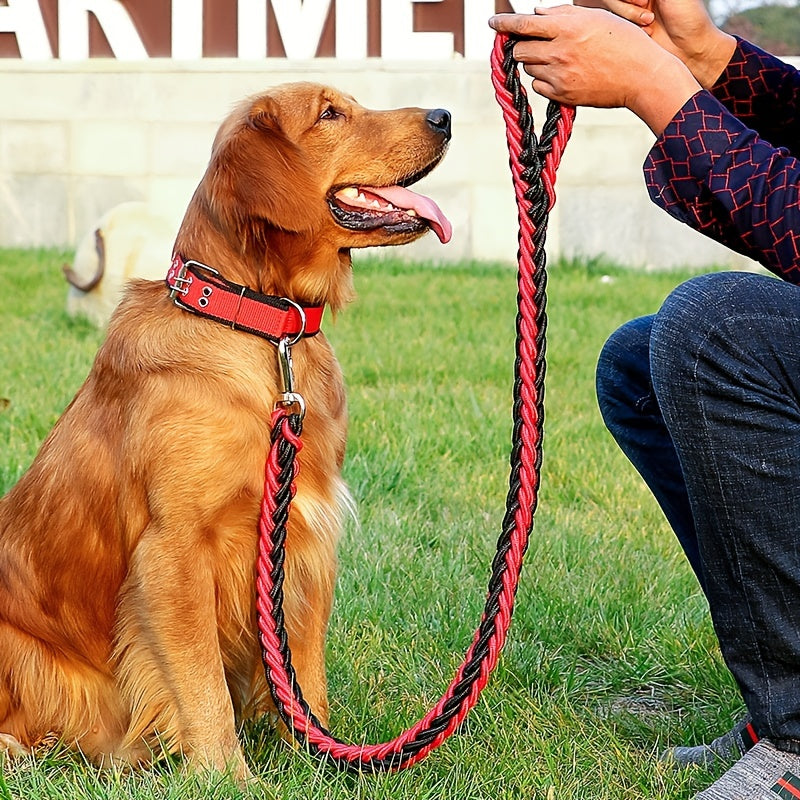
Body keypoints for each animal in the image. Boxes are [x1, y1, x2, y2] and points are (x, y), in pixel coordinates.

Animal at [0, 81, 450, 780]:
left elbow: (303, 677)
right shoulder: (174, 552)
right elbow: (201, 683)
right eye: (330, 114)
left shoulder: (300, 540)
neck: (261, 329)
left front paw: (319, 760)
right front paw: (227, 774)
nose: (445, 116)